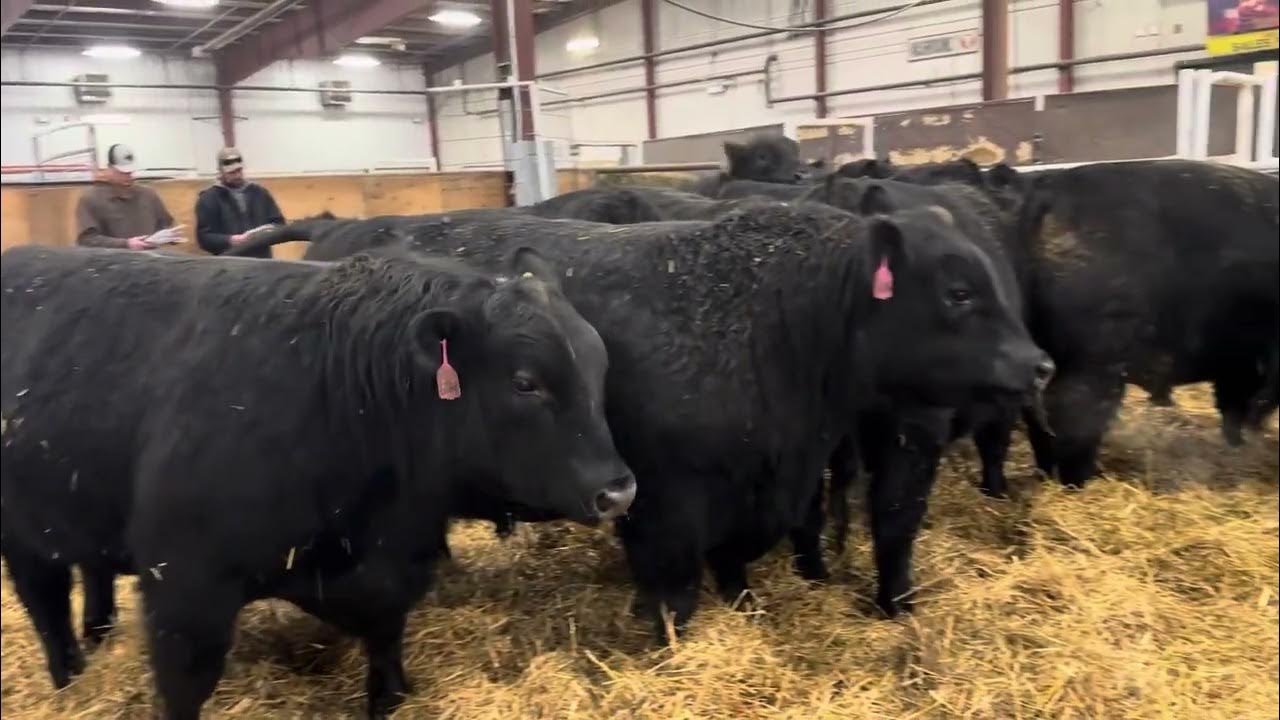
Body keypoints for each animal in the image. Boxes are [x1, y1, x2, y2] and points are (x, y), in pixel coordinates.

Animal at [1, 244, 634, 718]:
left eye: (600, 364)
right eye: (525, 382)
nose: (619, 490)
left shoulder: (389, 571)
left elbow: (386, 645)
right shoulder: (183, 587)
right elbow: (185, 686)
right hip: (26, 542)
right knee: (49, 613)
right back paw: (70, 682)